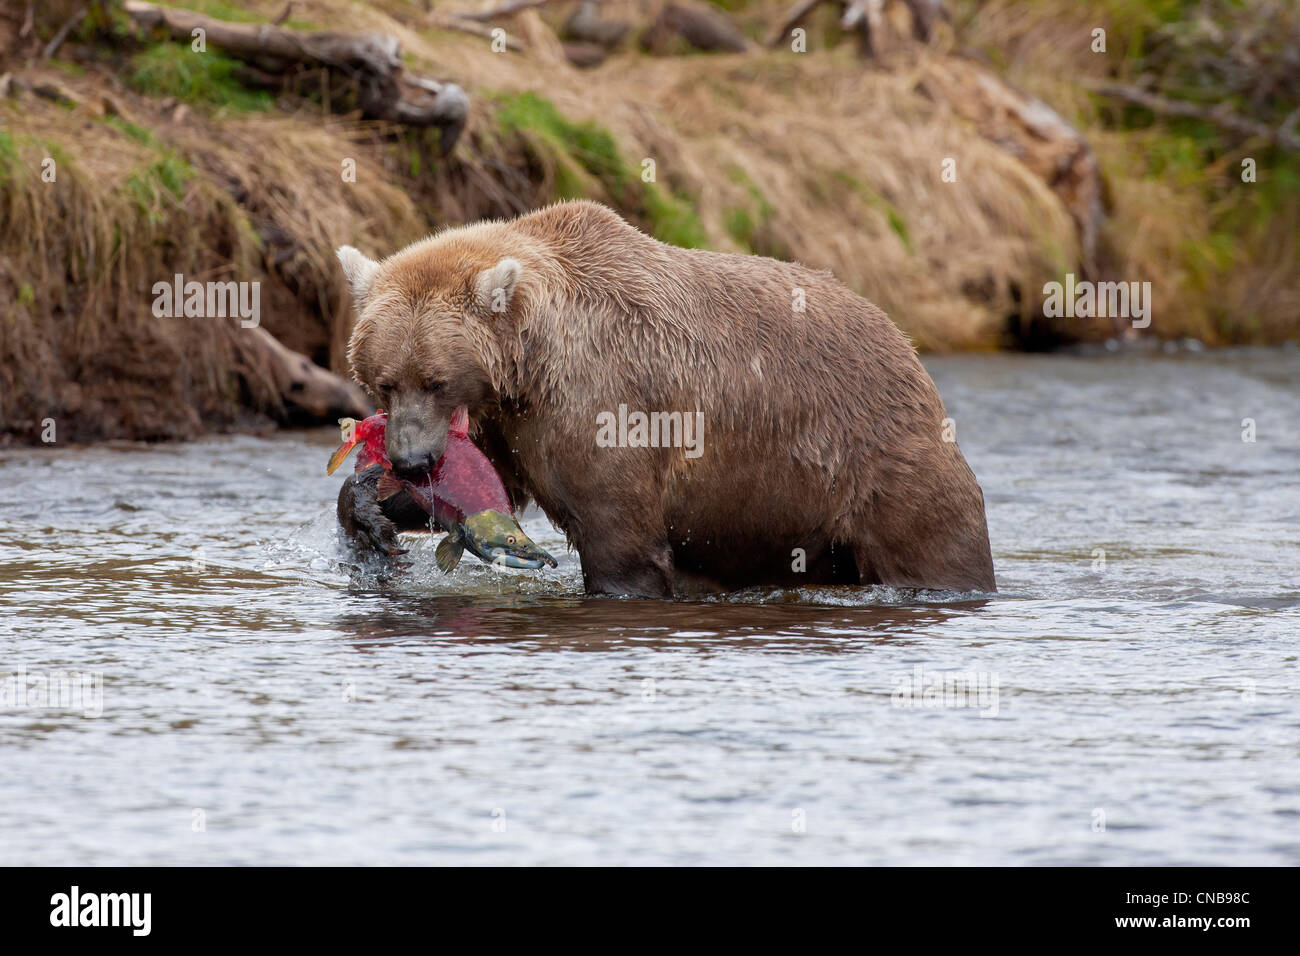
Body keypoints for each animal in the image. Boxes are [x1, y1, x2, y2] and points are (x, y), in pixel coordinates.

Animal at [335, 199, 993, 595]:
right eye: (384, 380)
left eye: (436, 379)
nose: (411, 460)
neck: (532, 363)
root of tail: (908, 347)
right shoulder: (510, 421)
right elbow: (488, 483)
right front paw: (371, 510)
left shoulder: (606, 403)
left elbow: (618, 537)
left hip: (878, 467)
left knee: (938, 548)